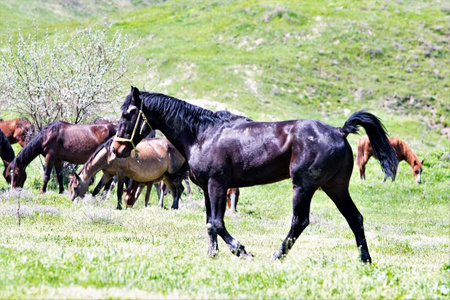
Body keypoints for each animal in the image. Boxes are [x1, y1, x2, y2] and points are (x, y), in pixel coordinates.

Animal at [112, 85, 398, 262]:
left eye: (129, 113)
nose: (116, 148)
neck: (203, 134)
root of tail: (340, 130)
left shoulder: (218, 184)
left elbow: (218, 223)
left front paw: (242, 251)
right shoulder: (206, 188)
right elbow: (209, 223)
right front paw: (213, 254)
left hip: (303, 186)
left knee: (300, 221)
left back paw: (276, 256)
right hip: (335, 187)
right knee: (355, 218)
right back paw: (365, 260)